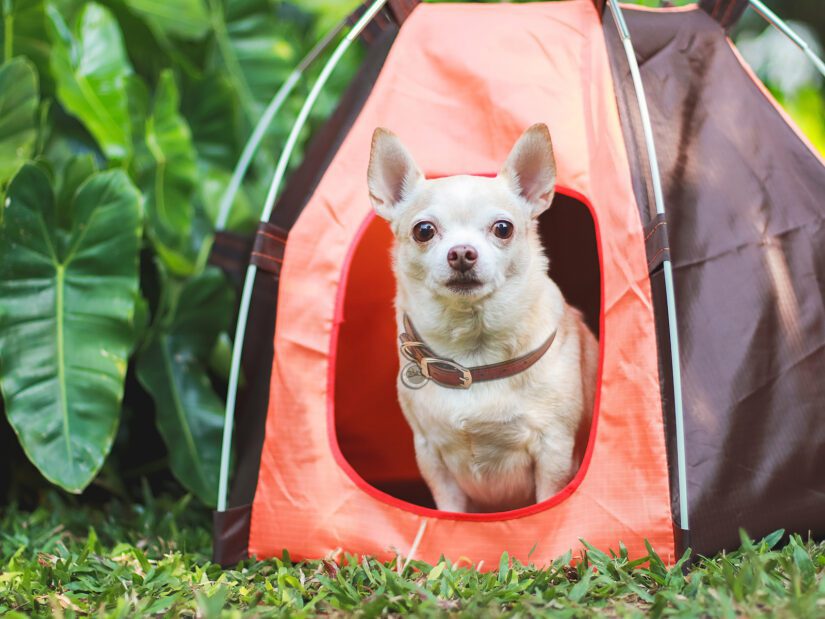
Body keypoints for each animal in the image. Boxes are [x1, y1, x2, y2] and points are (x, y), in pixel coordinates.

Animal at [370, 122, 596, 512]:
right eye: (424, 231)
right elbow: (449, 509)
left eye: (503, 228)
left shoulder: (554, 451)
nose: (462, 252)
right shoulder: (430, 455)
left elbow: (546, 499)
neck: (472, 351)